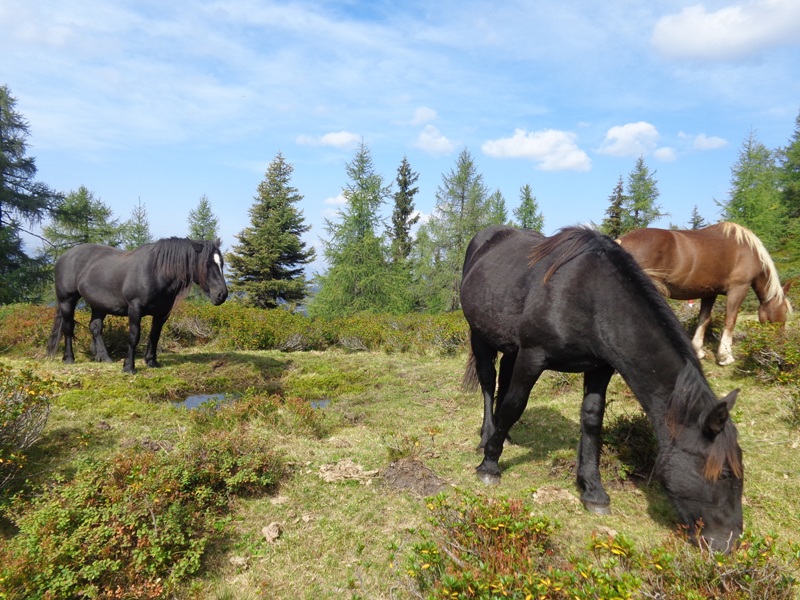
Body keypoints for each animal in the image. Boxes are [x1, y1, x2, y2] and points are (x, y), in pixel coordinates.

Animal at [47, 237, 228, 372]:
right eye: (207, 264)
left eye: (221, 263)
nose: (222, 294)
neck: (156, 272)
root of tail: (65, 256)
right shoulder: (135, 309)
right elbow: (134, 336)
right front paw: (129, 367)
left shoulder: (162, 313)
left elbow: (154, 336)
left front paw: (151, 362)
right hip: (67, 300)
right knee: (68, 328)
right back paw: (69, 358)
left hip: (98, 304)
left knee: (95, 328)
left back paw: (104, 358)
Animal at [460, 226, 748, 552]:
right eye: (723, 473)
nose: (728, 542)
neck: (592, 296)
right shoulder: (533, 356)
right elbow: (514, 405)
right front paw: (489, 465)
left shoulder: (600, 367)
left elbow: (592, 420)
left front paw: (593, 490)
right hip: (480, 335)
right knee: (488, 381)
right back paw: (487, 434)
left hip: (510, 346)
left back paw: (503, 434)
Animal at [616, 223, 792, 366]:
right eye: (784, 313)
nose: (780, 343)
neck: (749, 250)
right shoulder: (739, 288)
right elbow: (730, 320)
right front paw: (725, 356)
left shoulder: (709, 292)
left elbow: (704, 319)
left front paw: (698, 350)